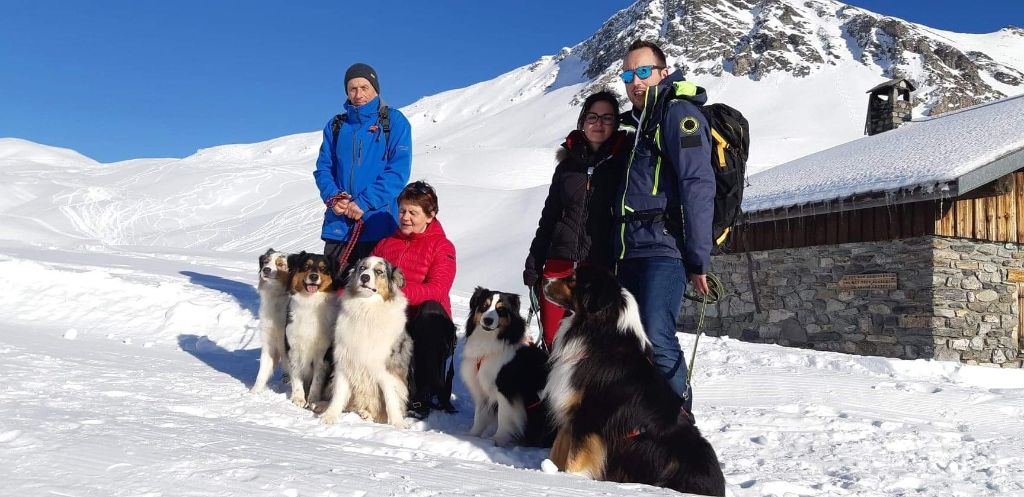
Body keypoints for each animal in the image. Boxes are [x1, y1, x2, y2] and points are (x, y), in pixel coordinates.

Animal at [251, 247, 292, 391]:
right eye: (266, 262)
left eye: (280, 264)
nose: (266, 270)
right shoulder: (269, 343)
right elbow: (262, 372)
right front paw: (253, 393)